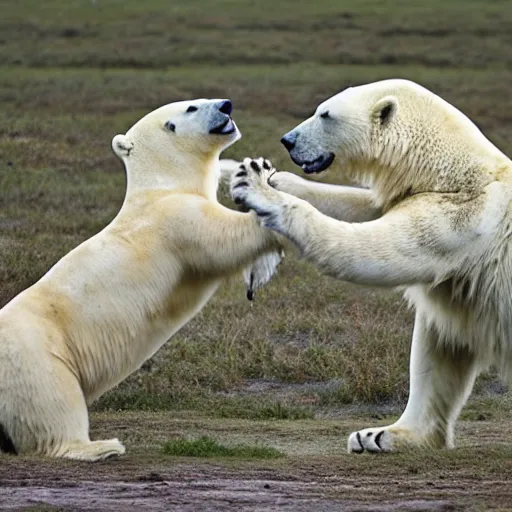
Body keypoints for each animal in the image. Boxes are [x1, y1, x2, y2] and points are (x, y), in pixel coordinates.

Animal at [0, 99, 282, 460]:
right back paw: (100, 446)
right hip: (33, 349)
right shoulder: (173, 219)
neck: (162, 184)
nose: (225, 105)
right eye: (191, 108)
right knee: (53, 397)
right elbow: (221, 237)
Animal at [231, 79, 512, 452]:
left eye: (326, 114)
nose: (287, 140)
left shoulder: (462, 220)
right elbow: (364, 207)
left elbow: (374, 250)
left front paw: (258, 189)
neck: (455, 172)